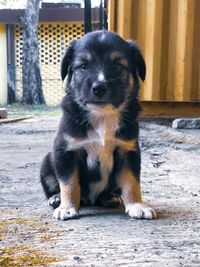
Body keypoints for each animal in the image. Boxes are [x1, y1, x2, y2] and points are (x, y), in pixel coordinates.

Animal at [40, 30, 156, 221]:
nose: (99, 87)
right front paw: (67, 207)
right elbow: (69, 183)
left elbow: (132, 182)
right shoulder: (66, 151)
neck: (102, 115)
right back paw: (56, 198)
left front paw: (137, 205)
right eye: (84, 66)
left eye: (118, 65)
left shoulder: (128, 151)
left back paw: (110, 197)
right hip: (47, 162)